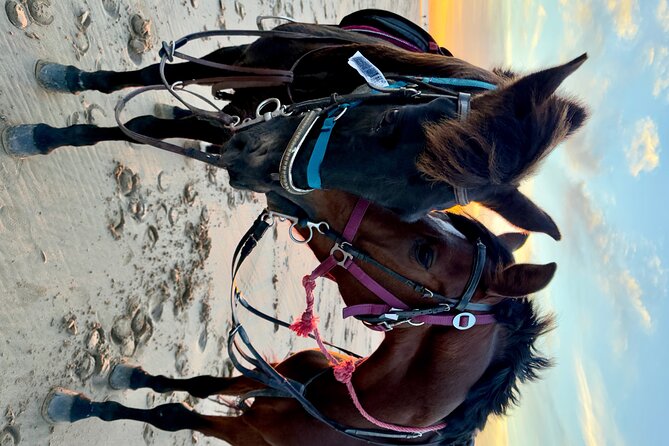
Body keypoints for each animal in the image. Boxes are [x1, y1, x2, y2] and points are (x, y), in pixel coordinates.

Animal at [0, 11, 588, 240]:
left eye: (401, 211)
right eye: (394, 121)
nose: (246, 167)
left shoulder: (247, 122)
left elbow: (153, 121)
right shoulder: (242, 73)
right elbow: (143, 95)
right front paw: (49, 130)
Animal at [42, 188, 556, 446]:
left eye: (425, 252)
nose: (327, 187)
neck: (337, 405)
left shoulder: (243, 431)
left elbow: (173, 416)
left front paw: (82, 407)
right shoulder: (267, 377)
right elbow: (200, 385)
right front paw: (130, 378)